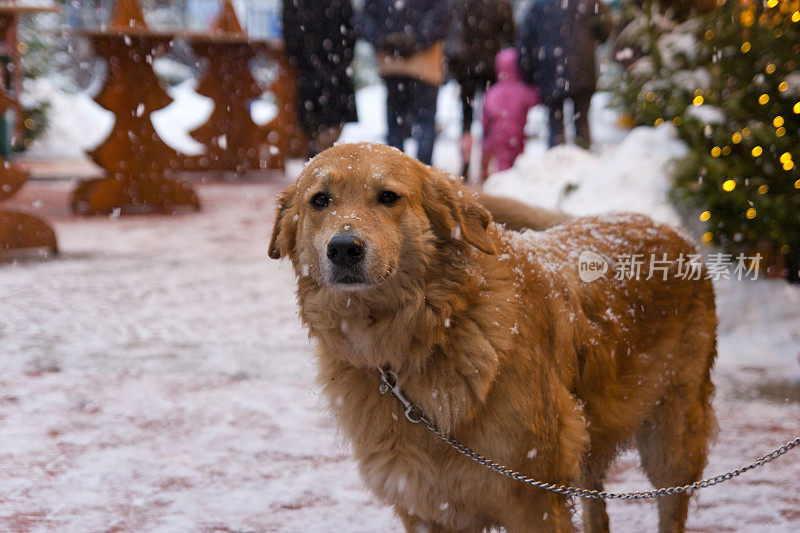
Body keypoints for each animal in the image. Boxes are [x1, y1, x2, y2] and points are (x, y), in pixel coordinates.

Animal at [268, 142, 720, 532]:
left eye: (388, 197)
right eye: (320, 200)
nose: (344, 248)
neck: (433, 334)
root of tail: (664, 225)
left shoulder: (535, 500)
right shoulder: (426, 506)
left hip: (671, 444)